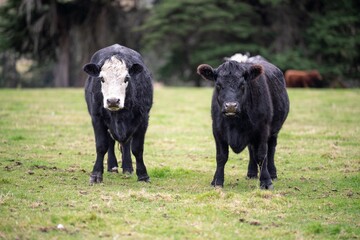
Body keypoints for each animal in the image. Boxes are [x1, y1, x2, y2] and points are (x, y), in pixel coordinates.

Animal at [83, 44, 153, 184]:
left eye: (126, 78)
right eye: (102, 78)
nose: (113, 101)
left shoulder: (143, 119)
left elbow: (137, 148)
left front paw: (143, 175)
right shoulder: (97, 118)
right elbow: (101, 146)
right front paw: (96, 175)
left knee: (126, 143)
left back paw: (127, 167)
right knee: (111, 142)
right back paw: (112, 166)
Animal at [197, 59, 290, 189]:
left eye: (242, 85)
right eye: (218, 85)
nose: (231, 106)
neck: (235, 123)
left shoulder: (263, 129)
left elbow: (262, 155)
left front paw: (266, 181)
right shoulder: (217, 130)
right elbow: (221, 156)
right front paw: (217, 181)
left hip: (274, 131)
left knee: (271, 149)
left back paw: (272, 174)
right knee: (252, 150)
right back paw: (251, 173)